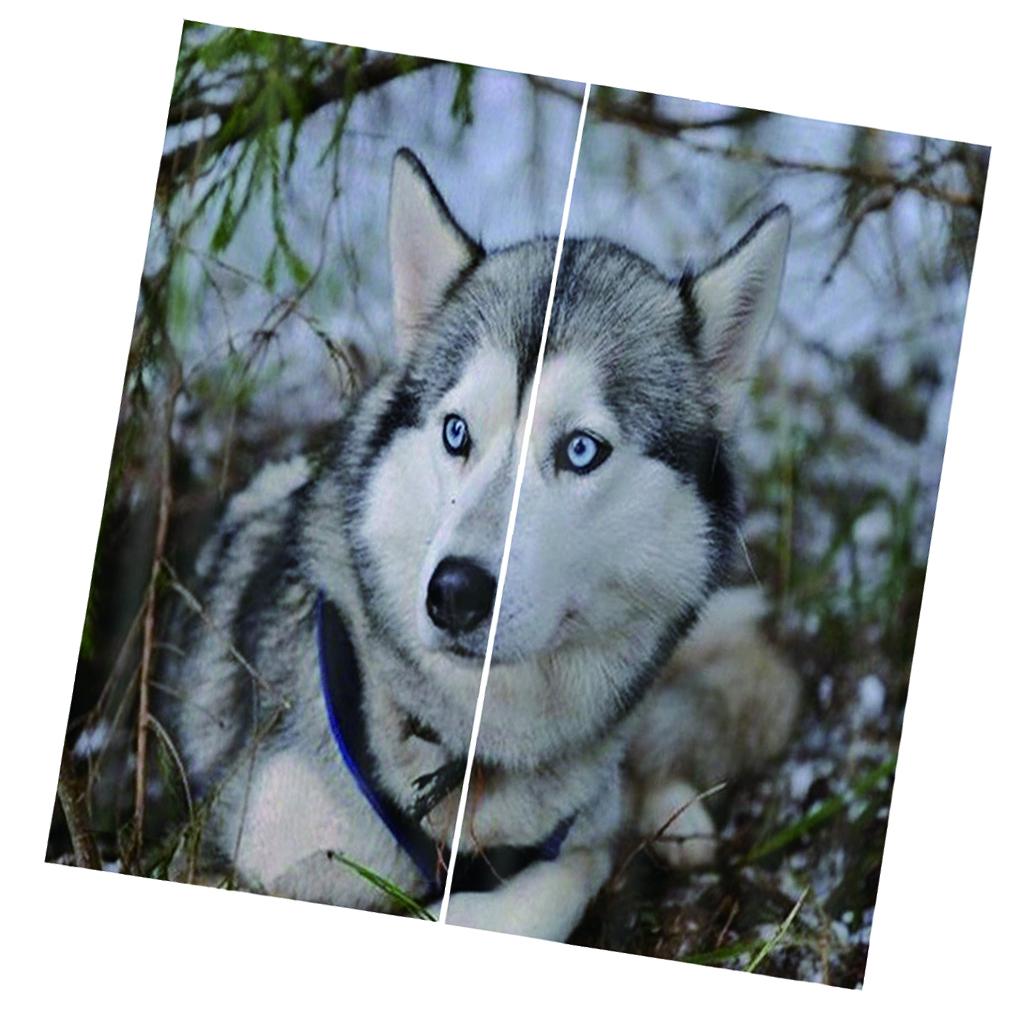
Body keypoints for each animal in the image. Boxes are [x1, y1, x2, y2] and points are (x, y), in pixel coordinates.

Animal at [167, 148, 800, 940]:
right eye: (456, 431)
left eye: (582, 450)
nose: (456, 594)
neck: (465, 745)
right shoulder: (240, 850)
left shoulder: (567, 845)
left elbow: (566, 874)